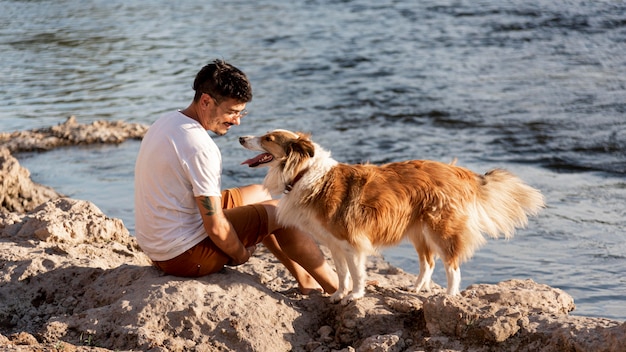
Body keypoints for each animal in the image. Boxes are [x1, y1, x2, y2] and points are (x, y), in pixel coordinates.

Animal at [239, 131, 540, 304]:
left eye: (268, 138)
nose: (241, 138)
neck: (304, 173)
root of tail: (457, 171)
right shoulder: (334, 244)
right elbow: (342, 273)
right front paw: (338, 294)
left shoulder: (353, 242)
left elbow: (357, 273)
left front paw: (355, 296)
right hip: (418, 230)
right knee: (428, 262)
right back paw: (417, 288)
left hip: (440, 228)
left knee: (452, 265)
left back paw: (449, 296)